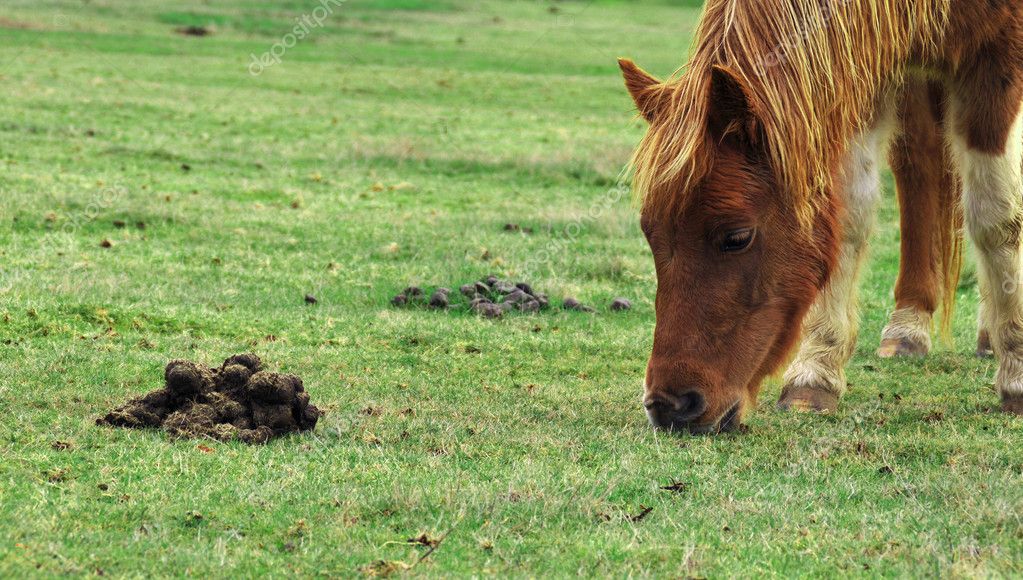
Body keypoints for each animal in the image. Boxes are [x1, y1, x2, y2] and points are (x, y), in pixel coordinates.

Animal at [617, 0, 1023, 435]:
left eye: (737, 236)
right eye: (649, 233)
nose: (669, 406)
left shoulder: (1000, 59)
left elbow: (996, 214)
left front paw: (1016, 375)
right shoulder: (863, 65)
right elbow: (848, 215)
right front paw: (815, 373)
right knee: (921, 160)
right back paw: (910, 326)